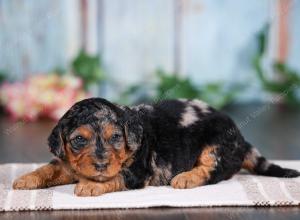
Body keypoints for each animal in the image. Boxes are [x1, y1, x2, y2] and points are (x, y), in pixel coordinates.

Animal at [12, 98, 298, 196]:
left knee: (211, 170)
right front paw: (25, 179)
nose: (101, 164)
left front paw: (91, 185)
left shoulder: (138, 172)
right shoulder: (67, 162)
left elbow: (115, 177)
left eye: (116, 137)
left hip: (215, 145)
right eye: (79, 140)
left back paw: (186, 177)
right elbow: (49, 168)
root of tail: (240, 137)